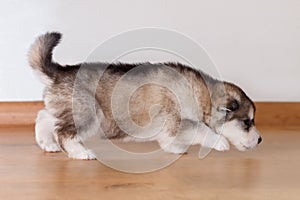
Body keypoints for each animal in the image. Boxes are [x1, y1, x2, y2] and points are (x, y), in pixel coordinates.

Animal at [28, 31, 262, 159]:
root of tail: (60, 71)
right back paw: (80, 153)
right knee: (64, 133)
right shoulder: (176, 120)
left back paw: (46, 143)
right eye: (247, 122)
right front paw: (219, 141)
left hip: (65, 107)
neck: (202, 96)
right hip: (89, 112)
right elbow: (201, 129)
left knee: (44, 116)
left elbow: (168, 140)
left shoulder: (168, 128)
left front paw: (175, 149)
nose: (260, 140)